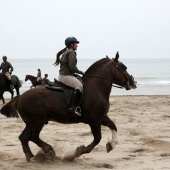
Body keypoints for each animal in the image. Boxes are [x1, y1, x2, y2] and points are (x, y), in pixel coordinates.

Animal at [0, 52, 137, 163]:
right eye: (124, 68)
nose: (133, 82)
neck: (95, 87)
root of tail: (20, 97)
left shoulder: (101, 117)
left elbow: (113, 126)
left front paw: (112, 144)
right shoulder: (94, 120)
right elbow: (97, 138)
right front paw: (78, 152)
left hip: (31, 122)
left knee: (24, 137)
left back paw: (31, 157)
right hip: (37, 121)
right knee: (33, 136)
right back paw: (49, 151)